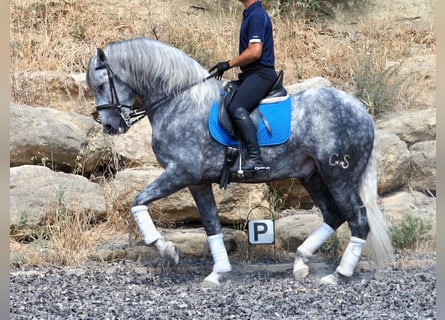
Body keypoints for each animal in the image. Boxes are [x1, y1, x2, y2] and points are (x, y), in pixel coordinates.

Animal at [86, 36, 392, 286]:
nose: (110, 127)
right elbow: (211, 225)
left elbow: (138, 201)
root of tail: (361, 111)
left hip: (339, 175)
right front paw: (217, 273)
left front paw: (167, 249)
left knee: (358, 220)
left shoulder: (180, 173)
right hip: (312, 175)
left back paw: (338, 274)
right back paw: (301, 262)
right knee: (333, 215)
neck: (180, 101)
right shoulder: (197, 182)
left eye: (100, 85)